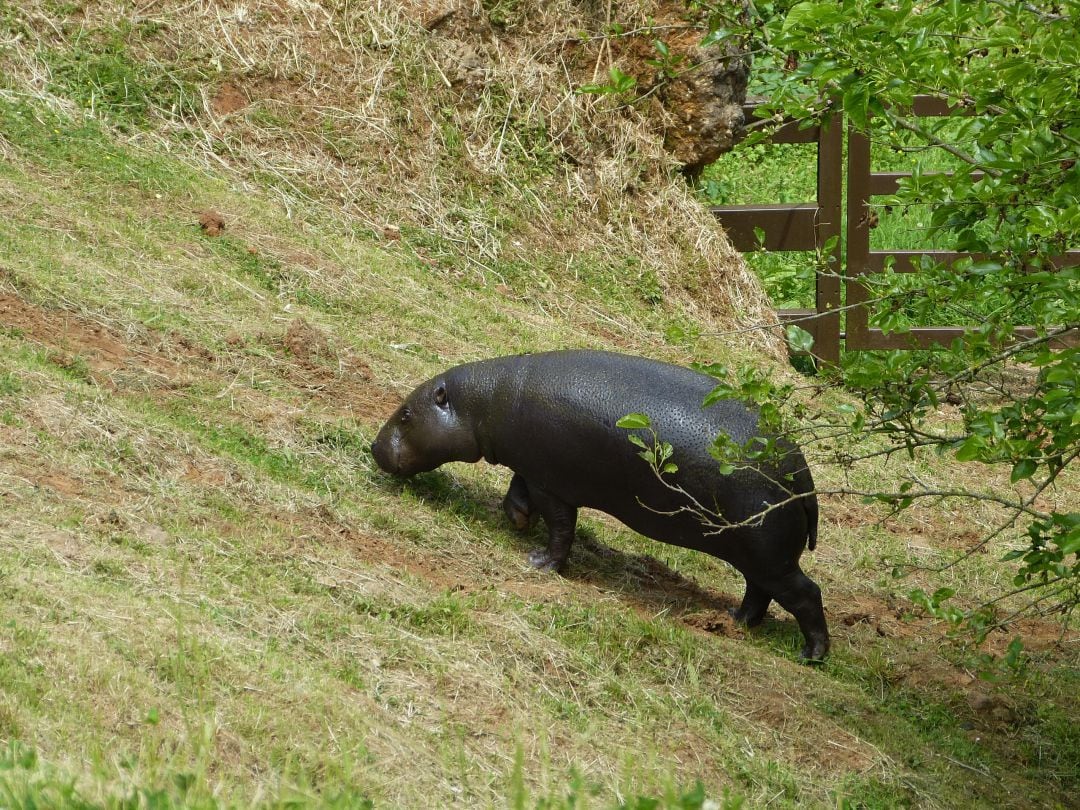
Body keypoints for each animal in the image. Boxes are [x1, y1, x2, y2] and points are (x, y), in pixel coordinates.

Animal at [367, 352, 829, 660]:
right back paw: (735, 620)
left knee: (805, 593)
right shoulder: (534, 469)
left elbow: (560, 528)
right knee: (758, 591)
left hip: (769, 555)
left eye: (406, 414)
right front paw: (517, 519)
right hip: (757, 556)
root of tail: (803, 478)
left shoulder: (553, 485)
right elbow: (518, 490)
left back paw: (813, 655)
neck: (482, 402)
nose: (373, 447)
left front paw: (539, 563)